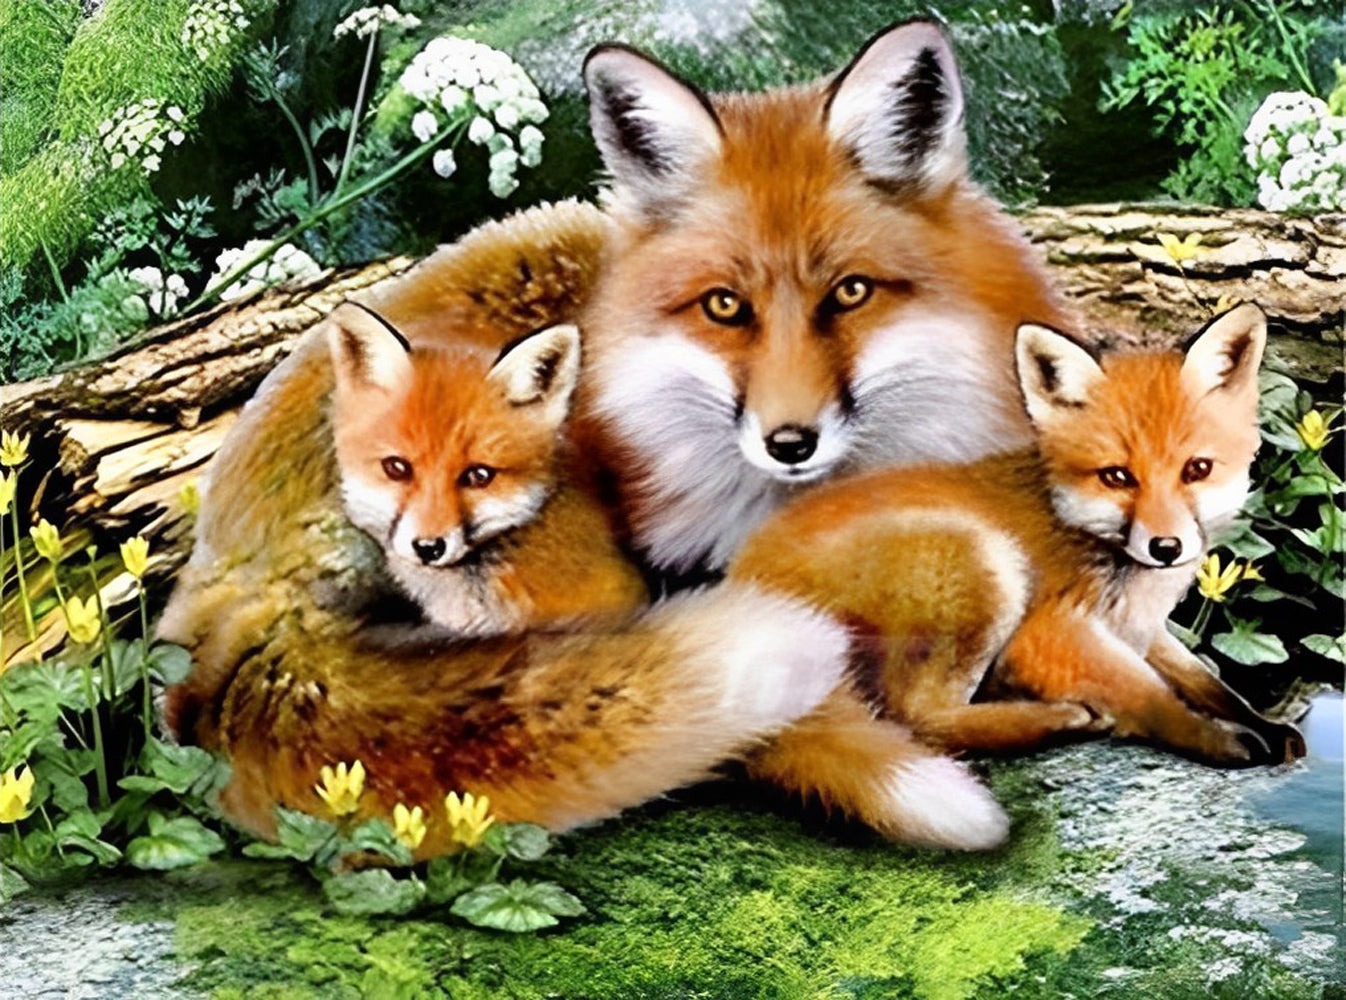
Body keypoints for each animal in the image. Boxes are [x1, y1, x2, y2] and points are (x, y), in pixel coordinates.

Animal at [729, 304, 1307, 830]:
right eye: (1117, 476)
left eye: (1197, 469)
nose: (1167, 546)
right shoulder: (1046, 634)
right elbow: (1150, 695)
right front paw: (1215, 738)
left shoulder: (1142, 629)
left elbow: (1208, 680)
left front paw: (1263, 723)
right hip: (986, 563)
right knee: (920, 719)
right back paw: (1060, 719)